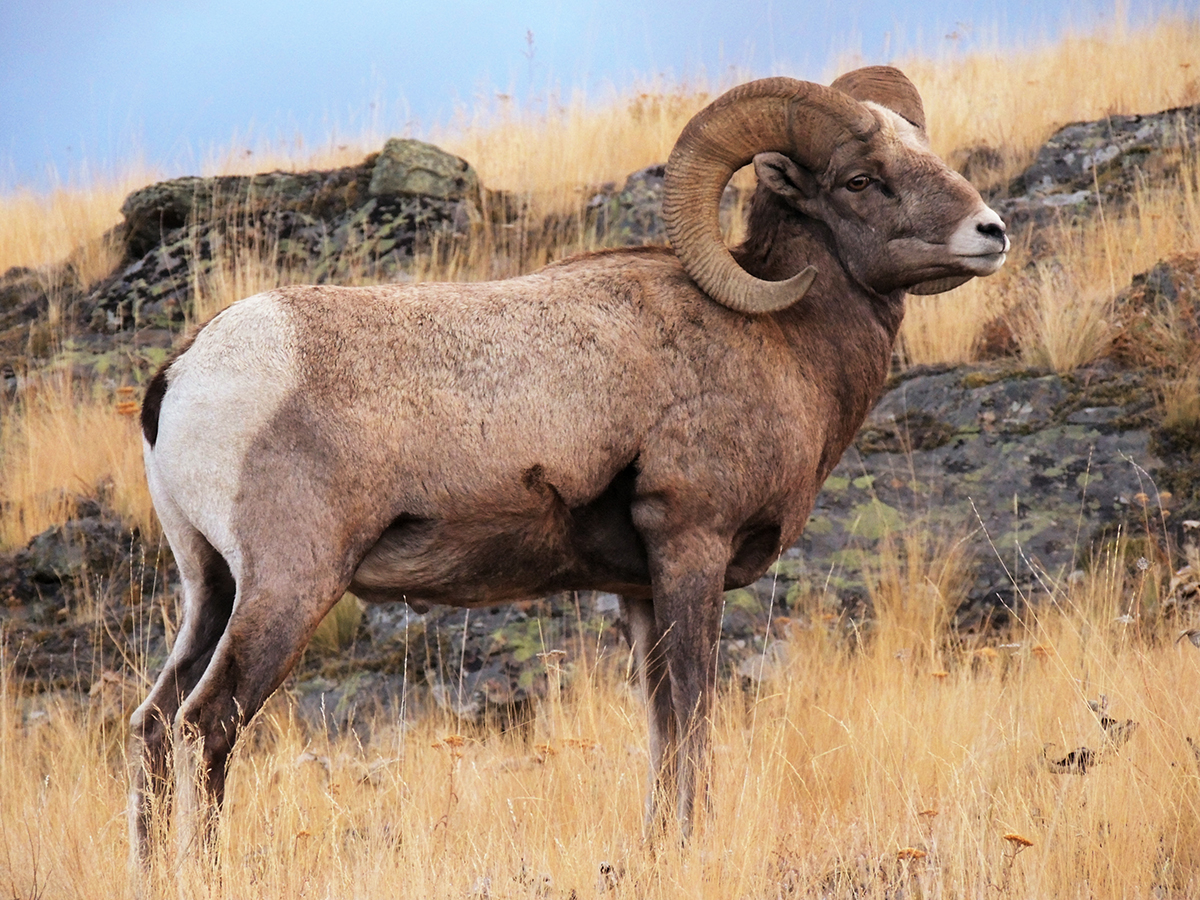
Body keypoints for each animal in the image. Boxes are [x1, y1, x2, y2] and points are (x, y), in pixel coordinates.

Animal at [129, 66, 1008, 862]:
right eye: (862, 180)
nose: (991, 232)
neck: (779, 342)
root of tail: (183, 373)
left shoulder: (639, 589)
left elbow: (661, 725)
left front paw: (661, 846)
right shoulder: (691, 547)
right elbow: (693, 708)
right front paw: (694, 845)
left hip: (211, 588)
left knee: (153, 723)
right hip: (291, 584)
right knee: (209, 722)